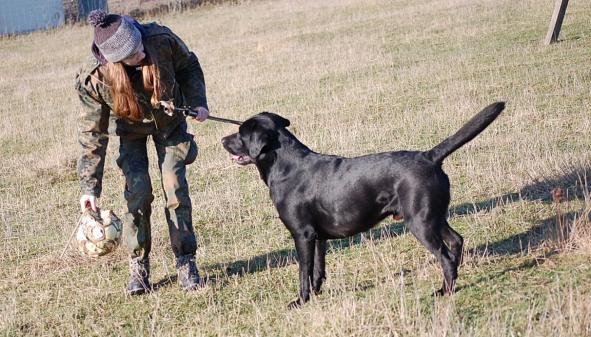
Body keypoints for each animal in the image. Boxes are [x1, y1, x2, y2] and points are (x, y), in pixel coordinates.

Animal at [221, 101, 504, 306]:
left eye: (241, 133)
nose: (222, 140)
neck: (285, 166)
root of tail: (429, 156)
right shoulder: (318, 236)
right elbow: (317, 270)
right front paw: (316, 295)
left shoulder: (302, 234)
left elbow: (303, 271)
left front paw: (300, 301)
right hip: (434, 216)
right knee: (456, 241)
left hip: (420, 222)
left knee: (444, 257)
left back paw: (444, 292)